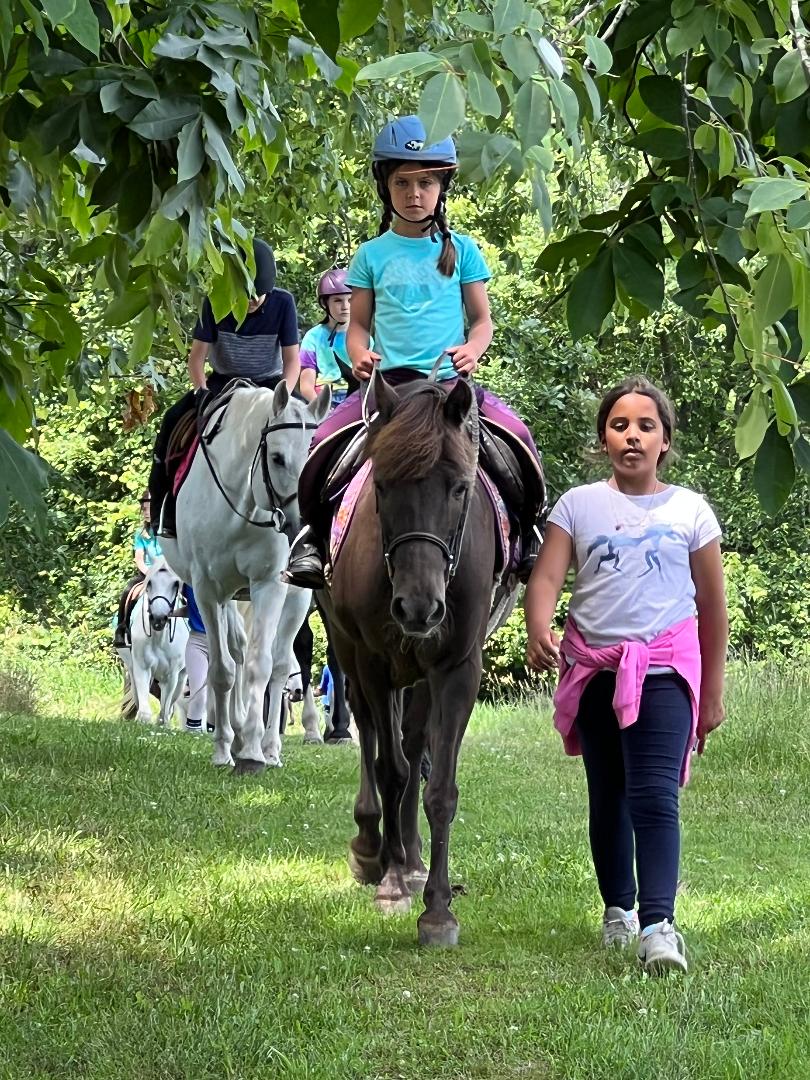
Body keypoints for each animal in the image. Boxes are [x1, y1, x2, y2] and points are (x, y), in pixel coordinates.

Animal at [116, 557, 190, 725]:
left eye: (175, 584)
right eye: (149, 583)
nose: (158, 618)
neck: (159, 638)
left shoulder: (172, 675)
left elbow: (165, 711)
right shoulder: (141, 668)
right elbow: (144, 710)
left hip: (181, 678)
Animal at [160, 384, 330, 773]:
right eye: (278, 458)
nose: (305, 528)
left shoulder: (269, 584)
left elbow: (260, 666)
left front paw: (253, 750)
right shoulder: (208, 591)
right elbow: (223, 669)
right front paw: (225, 747)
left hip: (293, 599)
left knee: (279, 664)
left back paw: (270, 748)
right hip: (231, 599)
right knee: (236, 651)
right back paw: (235, 734)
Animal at [319, 373, 509, 946]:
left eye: (459, 488)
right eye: (382, 487)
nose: (418, 607)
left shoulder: (457, 669)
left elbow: (438, 786)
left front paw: (438, 909)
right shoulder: (373, 662)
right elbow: (391, 769)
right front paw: (391, 883)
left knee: (414, 742)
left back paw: (412, 857)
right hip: (348, 651)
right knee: (371, 735)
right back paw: (375, 851)